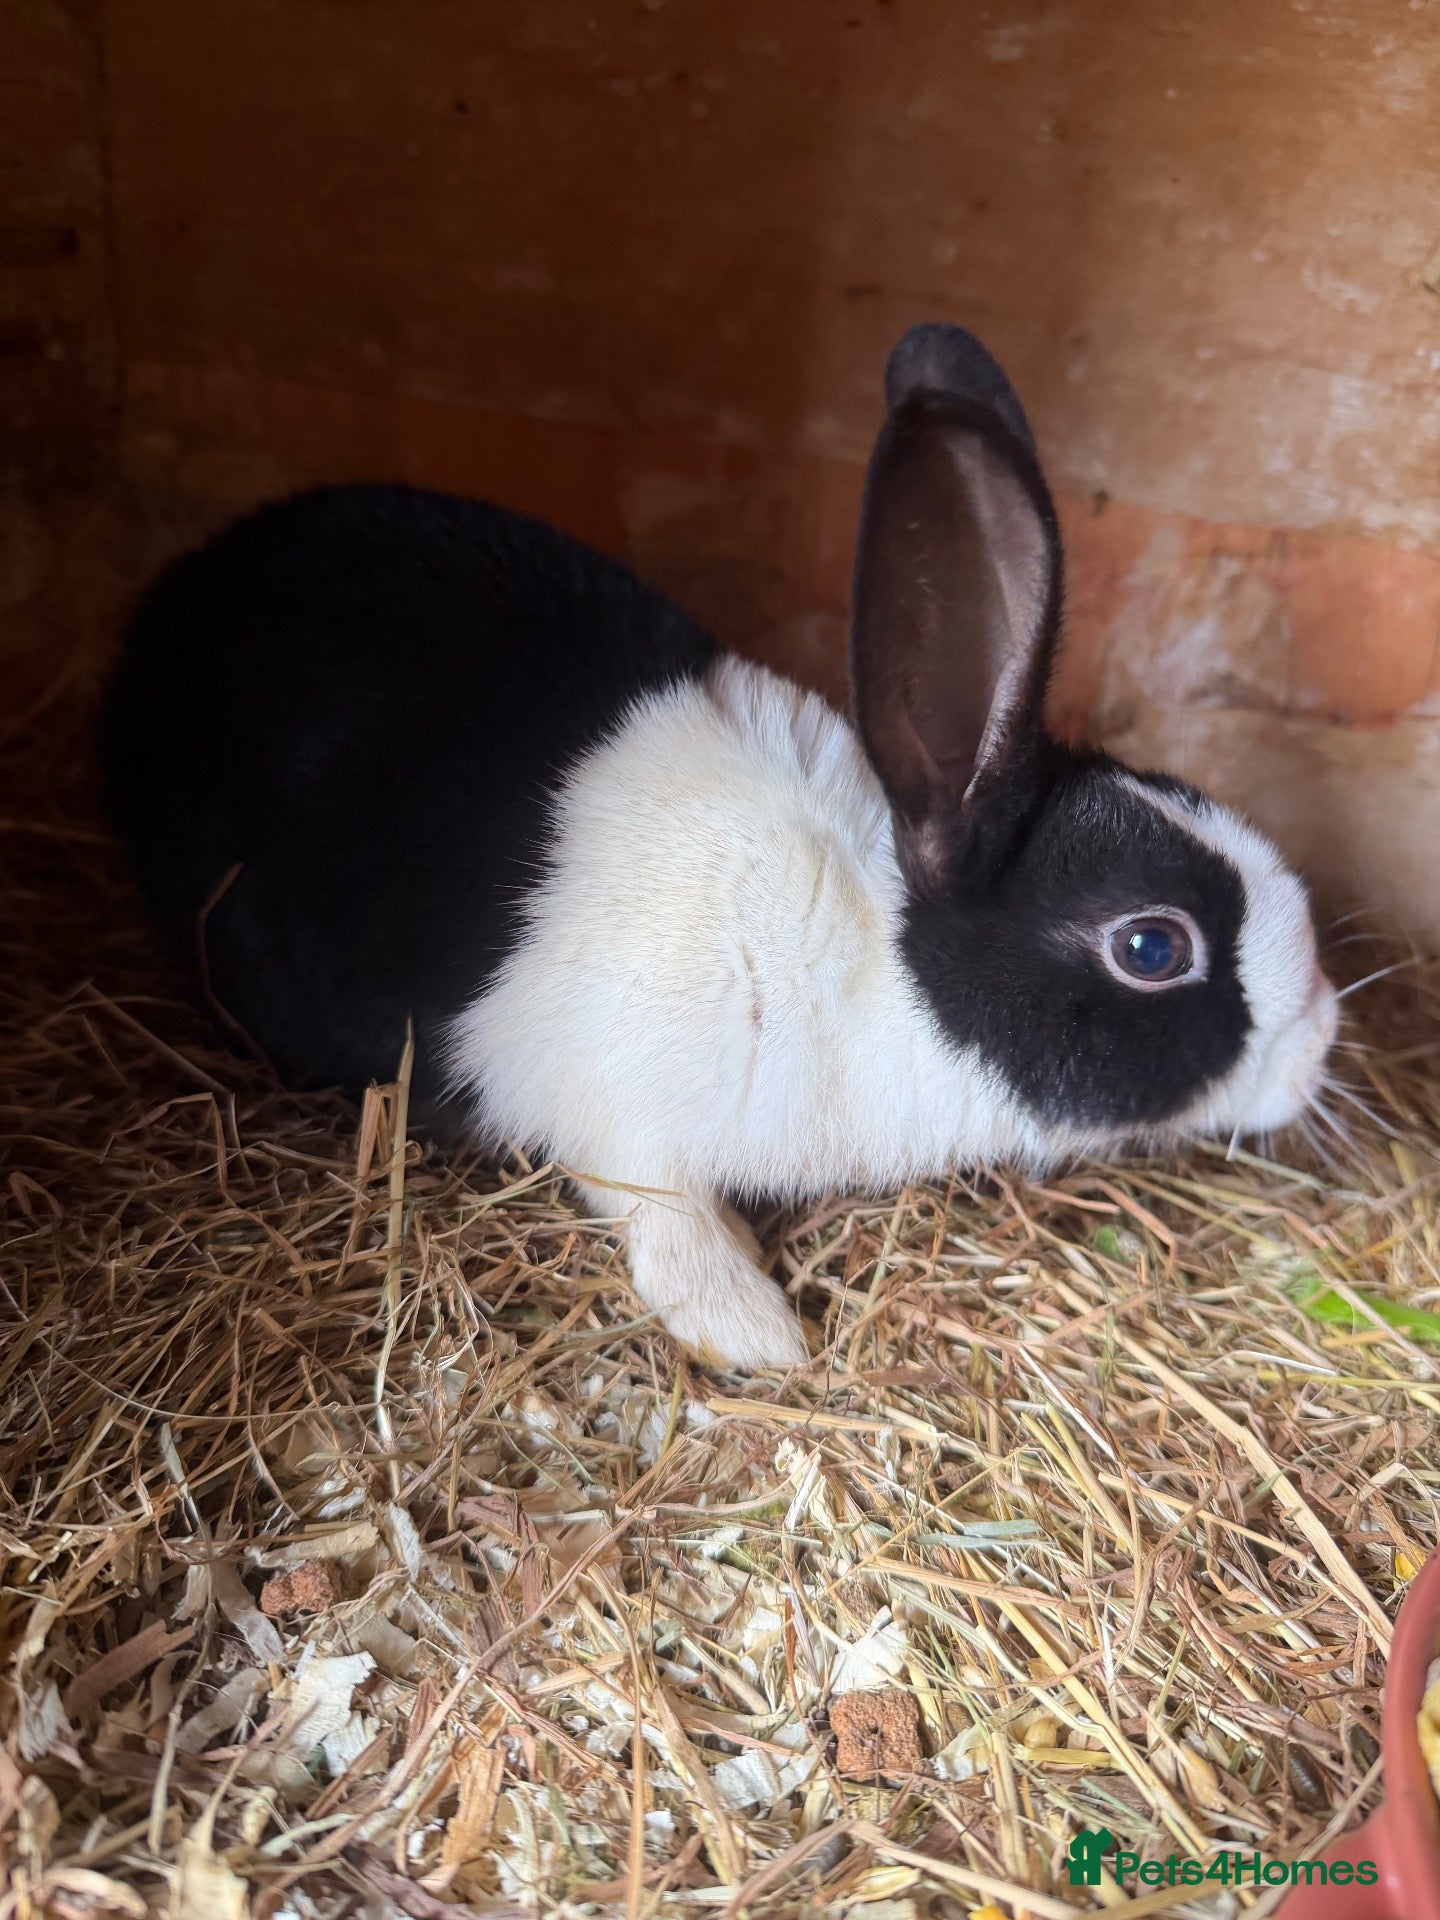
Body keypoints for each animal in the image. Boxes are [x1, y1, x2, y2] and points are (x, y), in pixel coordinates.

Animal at [102, 323, 1338, 1370]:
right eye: (1151, 948)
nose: (1323, 1035)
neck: (869, 954)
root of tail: (172, 600)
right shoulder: (621, 1114)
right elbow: (668, 1221)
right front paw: (758, 1334)